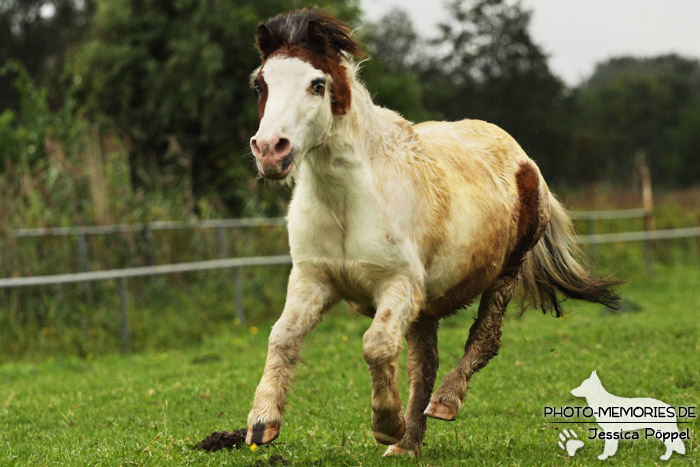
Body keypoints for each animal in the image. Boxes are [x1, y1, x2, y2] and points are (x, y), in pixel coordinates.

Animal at [243, 10, 620, 458]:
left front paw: (386, 425)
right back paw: (408, 445)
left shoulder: (399, 285)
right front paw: (262, 424)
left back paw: (442, 404)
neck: (349, 202)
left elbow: (376, 344)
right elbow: (282, 338)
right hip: (426, 308)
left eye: (317, 84)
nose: (271, 150)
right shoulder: (313, 279)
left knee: (484, 339)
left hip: (503, 276)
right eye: (260, 83)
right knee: (425, 364)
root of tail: (523, 158)